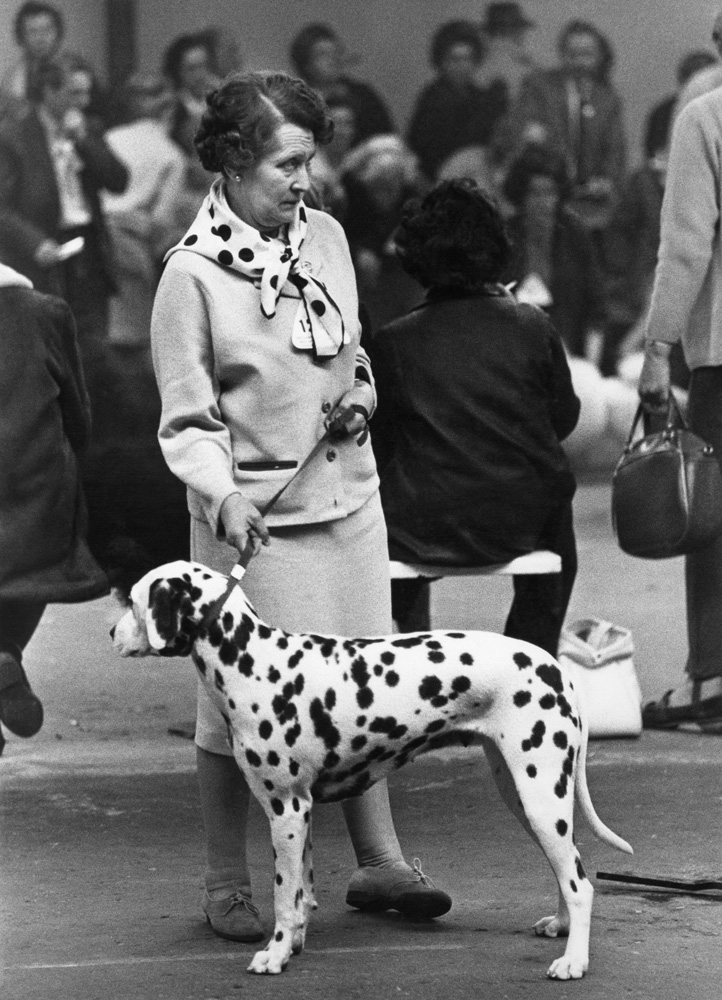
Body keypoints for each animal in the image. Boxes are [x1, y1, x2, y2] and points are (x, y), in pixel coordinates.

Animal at [112, 560, 632, 980]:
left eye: (134, 601)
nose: (111, 633)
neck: (253, 662)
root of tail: (554, 667)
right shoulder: (301, 812)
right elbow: (301, 893)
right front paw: (294, 945)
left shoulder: (285, 809)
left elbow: (283, 895)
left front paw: (274, 955)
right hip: (527, 798)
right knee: (569, 869)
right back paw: (561, 928)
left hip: (540, 797)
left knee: (581, 884)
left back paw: (574, 962)